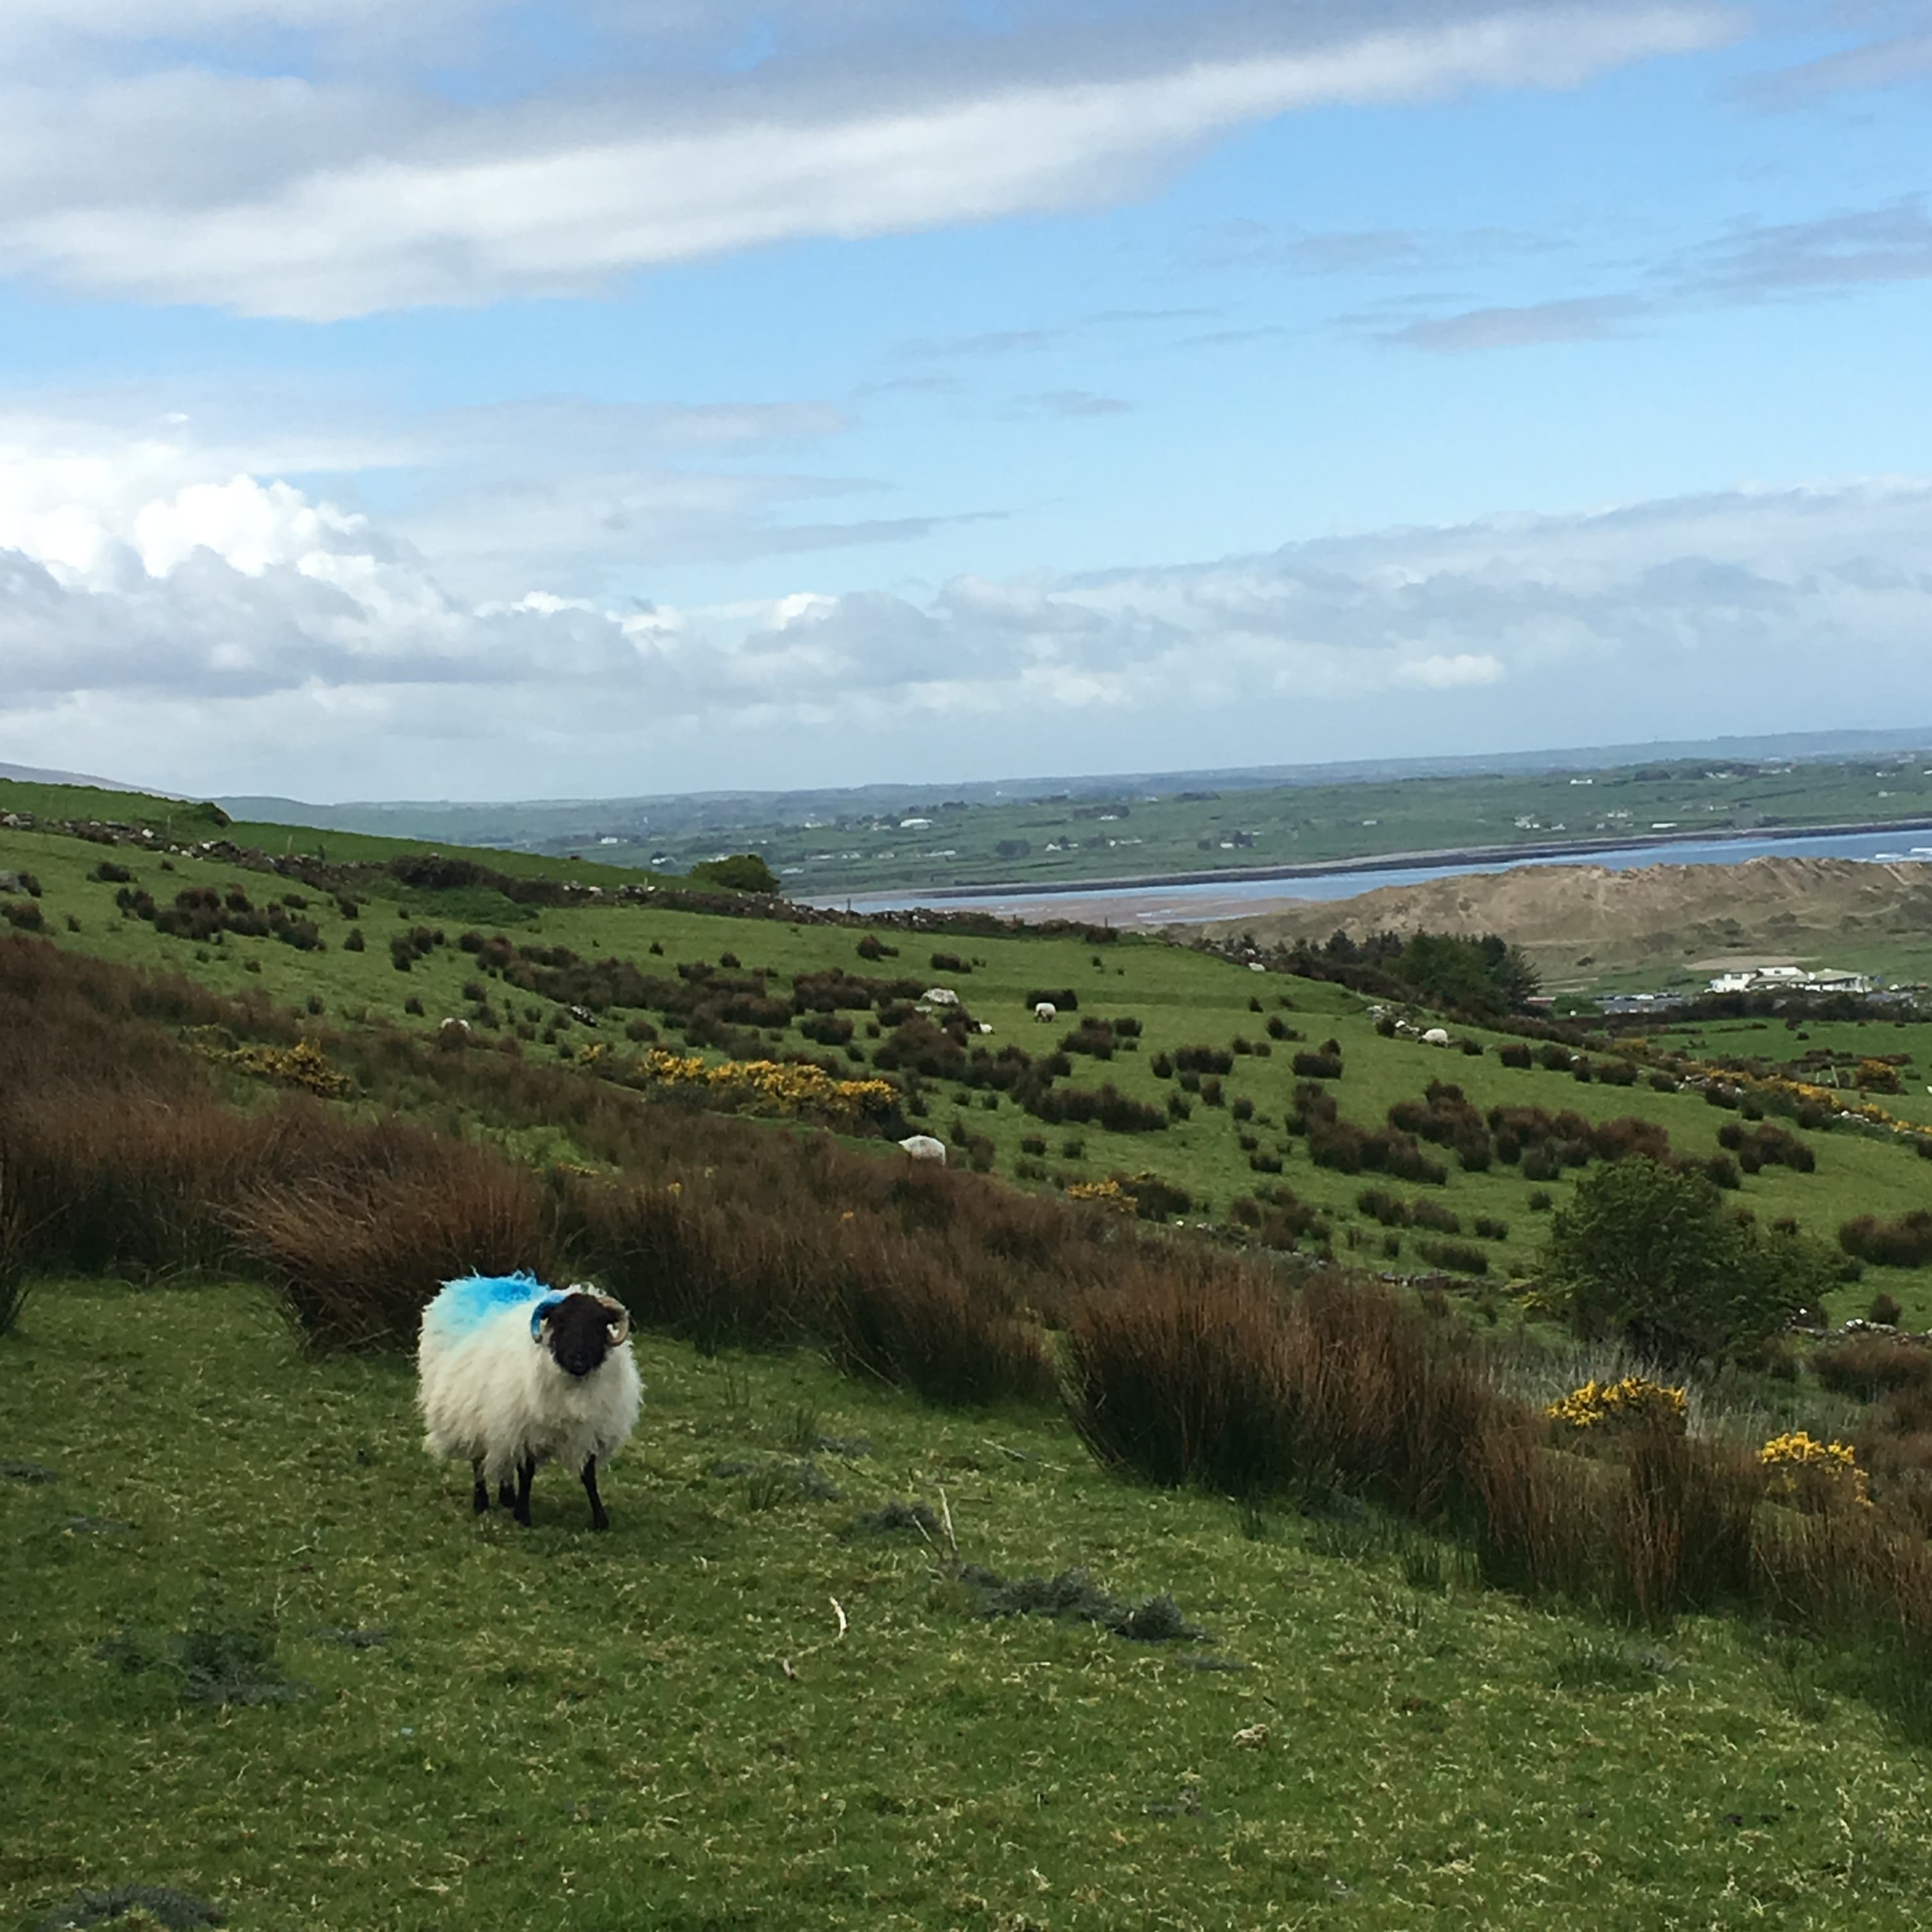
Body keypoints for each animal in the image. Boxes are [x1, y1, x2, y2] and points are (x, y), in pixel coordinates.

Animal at [417, 1272, 642, 1531]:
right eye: (559, 1321)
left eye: (600, 1323)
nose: (577, 1358)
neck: (573, 1384)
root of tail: (475, 1281)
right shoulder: (526, 1429)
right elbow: (527, 1473)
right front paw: (523, 1515)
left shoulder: (590, 1431)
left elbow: (589, 1475)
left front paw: (600, 1518)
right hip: (471, 1413)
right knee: (478, 1460)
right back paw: (481, 1503)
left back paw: (506, 1497)